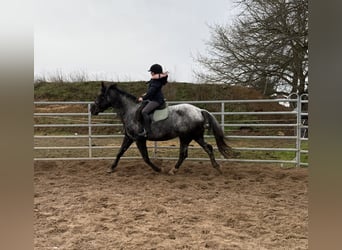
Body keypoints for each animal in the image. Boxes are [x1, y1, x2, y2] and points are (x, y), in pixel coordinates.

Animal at [89, 82, 232, 174]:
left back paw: (173, 170)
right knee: (208, 148)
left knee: (184, 154)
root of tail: (199, 110)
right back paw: (217, 167)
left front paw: (158, 169)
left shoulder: (139, 139)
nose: (92, 110)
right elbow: (120, 152)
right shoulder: (129, 137)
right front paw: (111, 168)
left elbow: (145, 157)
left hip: (186, 137)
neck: (130, 110)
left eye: (100, 96)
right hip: (196, 136)